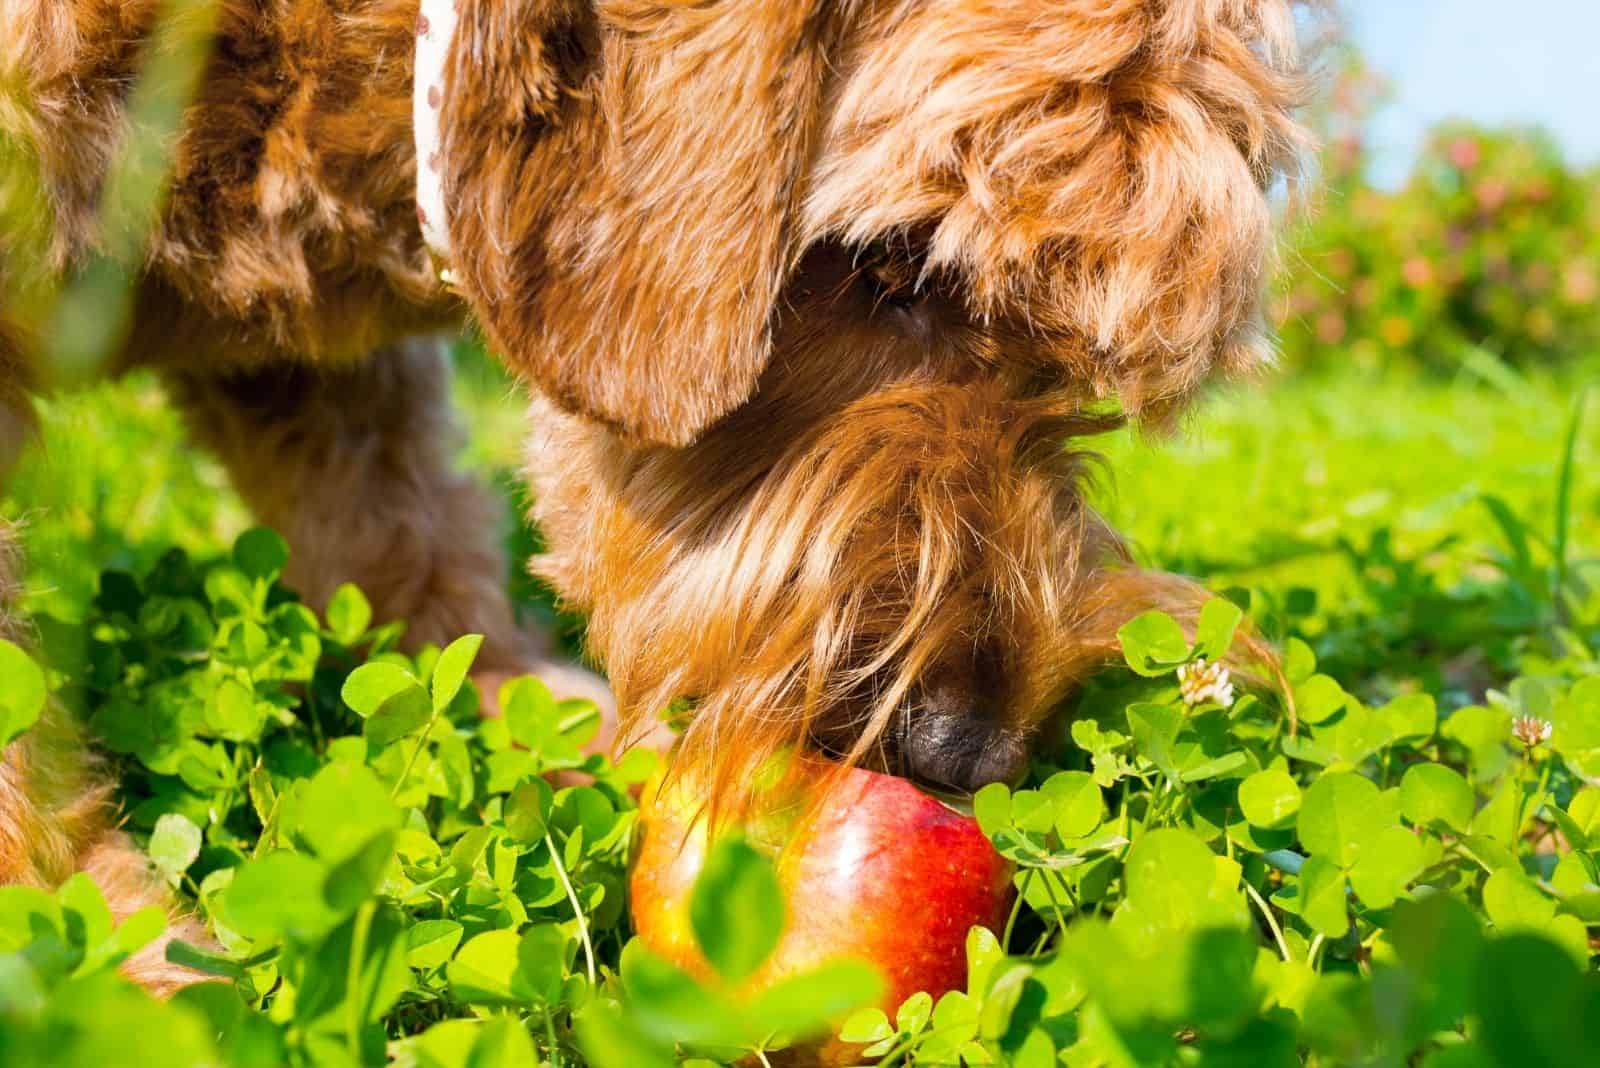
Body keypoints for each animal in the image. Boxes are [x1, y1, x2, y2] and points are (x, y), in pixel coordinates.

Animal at [0, 0, 1299, 991]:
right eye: (893, 264)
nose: (967, 755)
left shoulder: (327, 390)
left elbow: (403, 536)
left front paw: (548, 730)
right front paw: (106, 949)